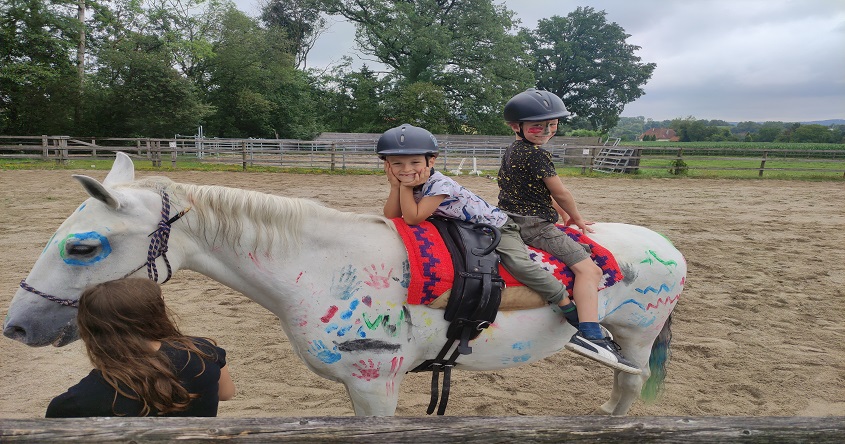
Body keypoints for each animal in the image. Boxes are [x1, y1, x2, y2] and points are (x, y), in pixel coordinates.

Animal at [3, 153, 684, 416]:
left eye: (82, 247)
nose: (16, 326)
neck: (322, 264)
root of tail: (667, 245)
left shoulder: (376, 382)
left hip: (636, 335)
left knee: (629, 388)